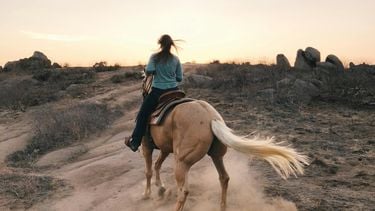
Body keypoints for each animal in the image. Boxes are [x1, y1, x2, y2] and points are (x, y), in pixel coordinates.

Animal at [138, 73, 308, 210]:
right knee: (224, 178)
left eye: (143, 77)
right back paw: (222, 206)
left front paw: (147, 193)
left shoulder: (146, 146)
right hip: (216, 155)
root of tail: (211, 118)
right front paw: (160, 188)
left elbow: (148, 170)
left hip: (182, 162)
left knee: (184, 191)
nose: (144, 92)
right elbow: (157, 164)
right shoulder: (165, 148)